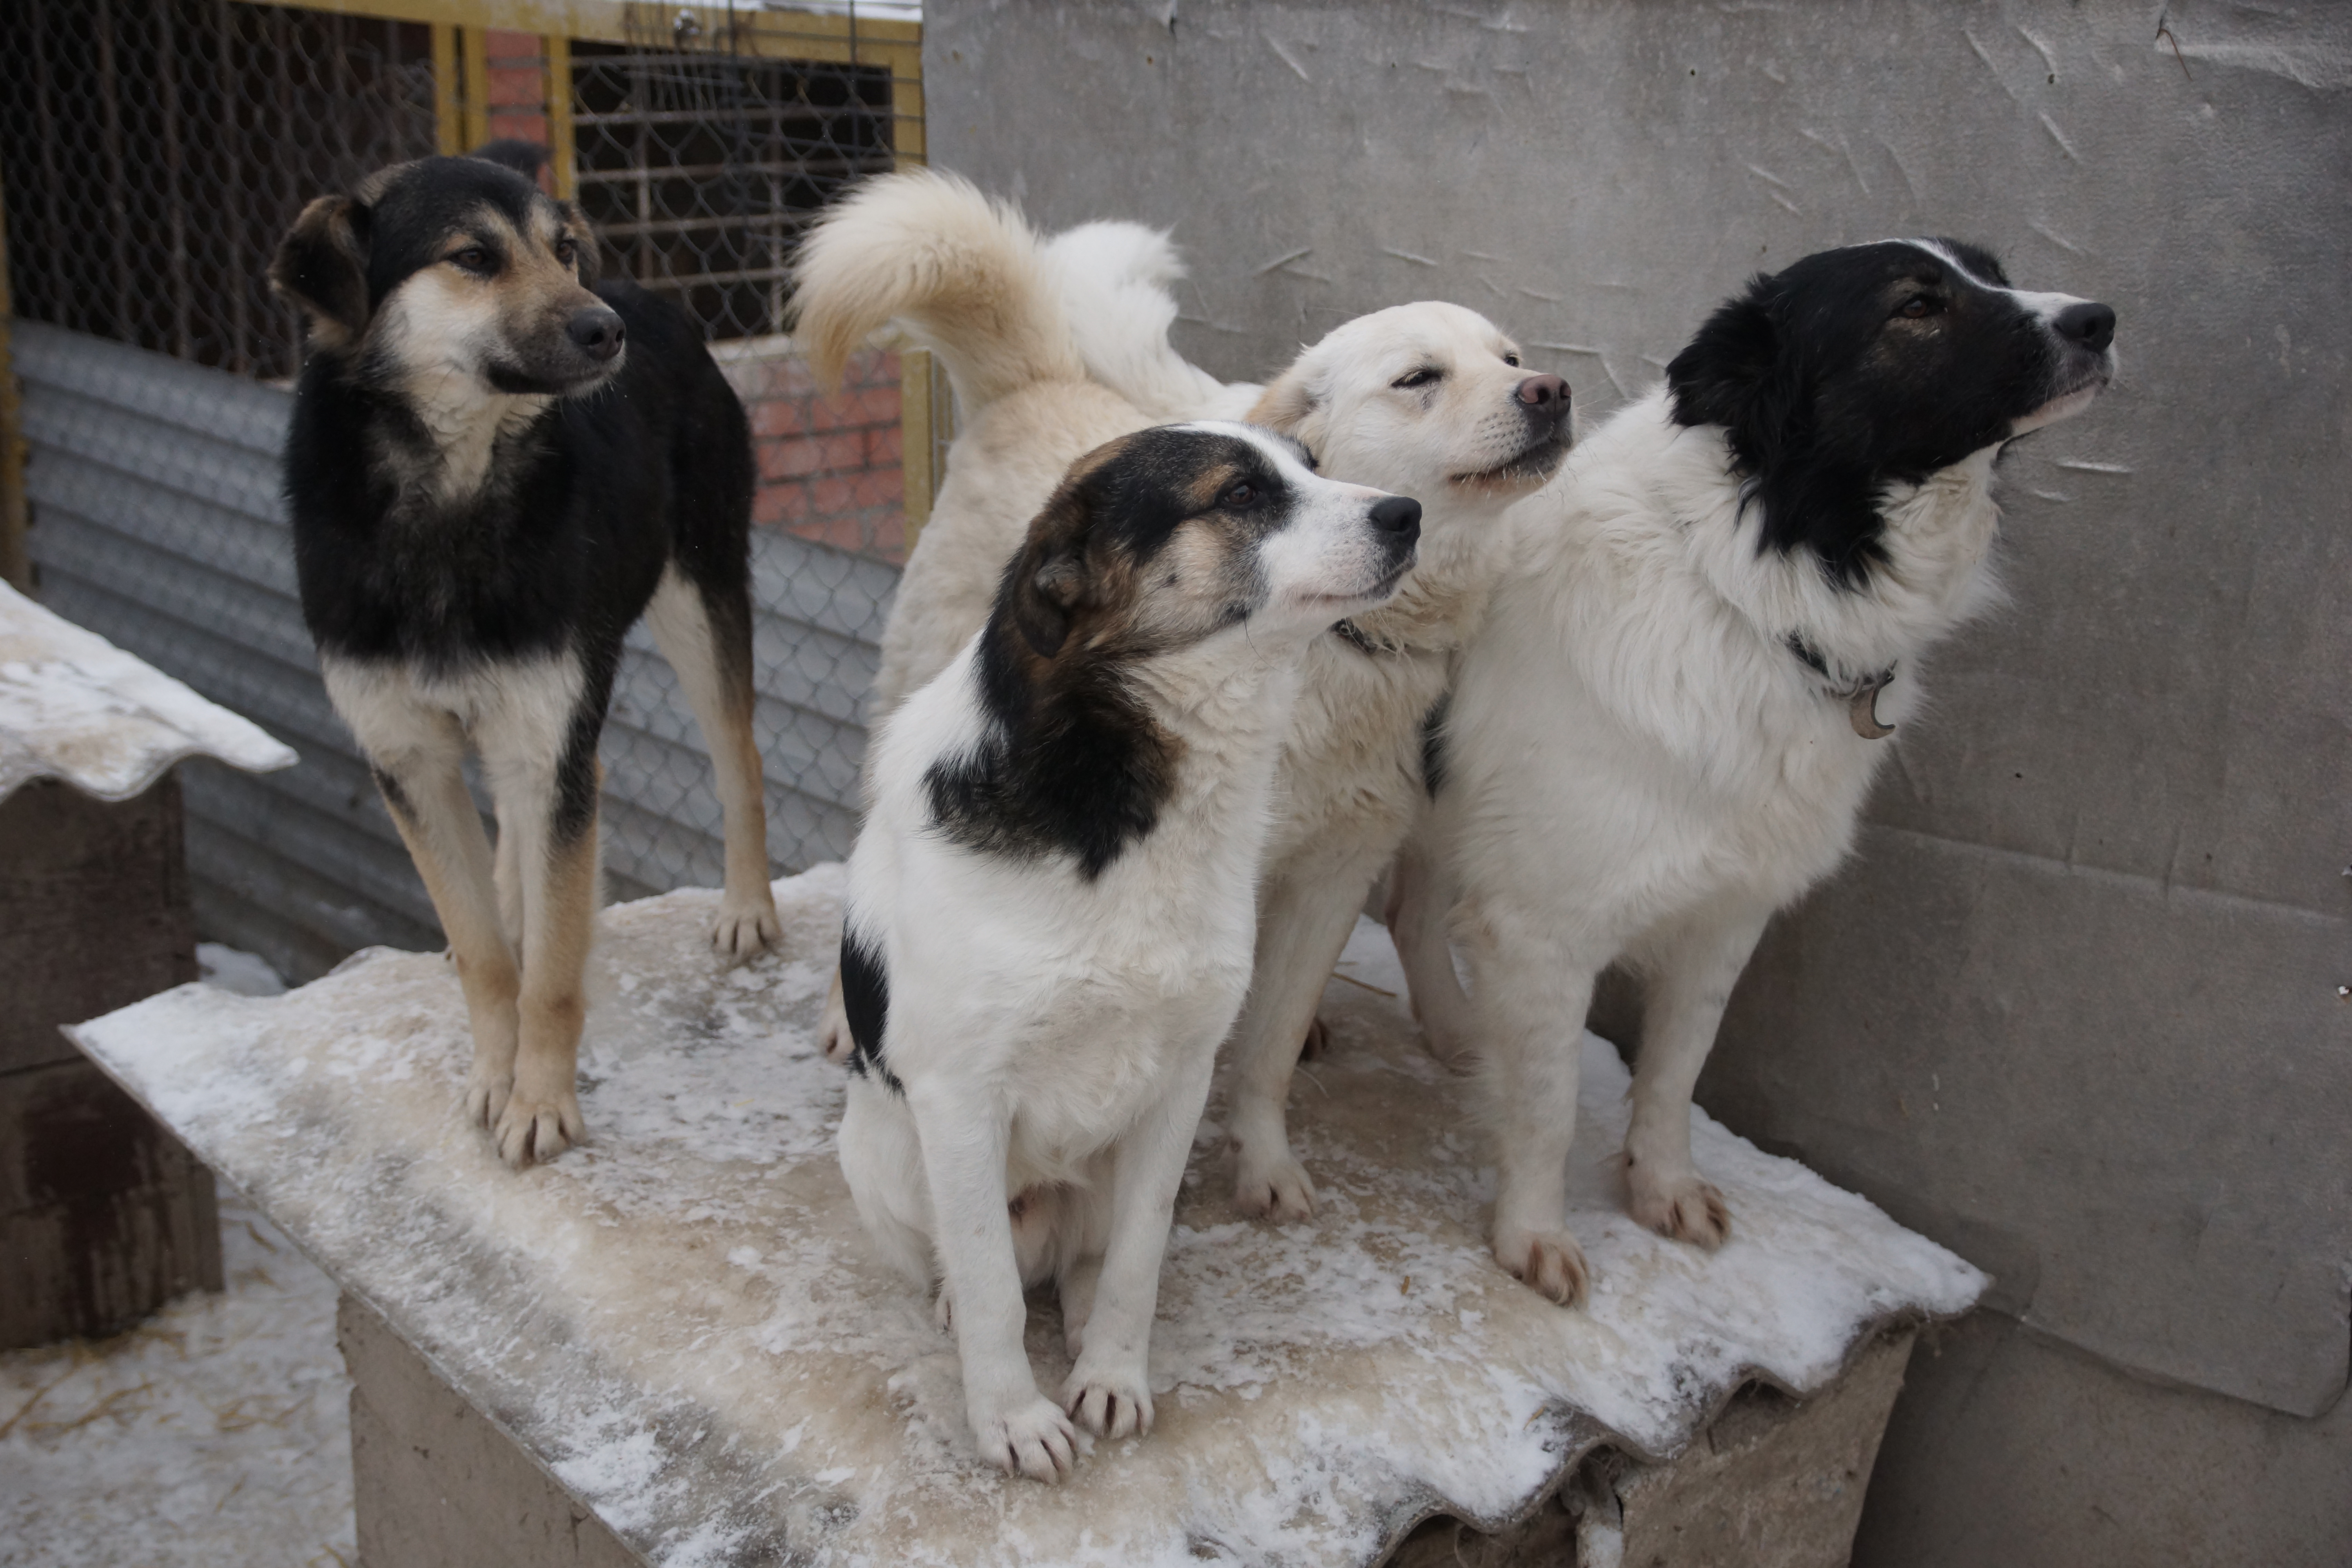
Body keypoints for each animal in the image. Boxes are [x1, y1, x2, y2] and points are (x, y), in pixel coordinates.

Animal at [267, 152, 781, 1171]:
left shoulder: (549, 742)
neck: (448, 495)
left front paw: (540, 1100)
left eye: (563, 248)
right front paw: (495, 1072)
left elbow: (549, 970)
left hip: (695, 599)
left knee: (735, 757)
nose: (603, 328)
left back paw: (748, 907)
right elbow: (483, 954)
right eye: (473, 257)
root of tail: (655, 299)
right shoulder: (411, 759)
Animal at [837, 423, 1411, 1476]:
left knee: (1085, 1260)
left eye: (1312, 462)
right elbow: (989, 1282)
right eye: (1239, 494)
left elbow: (1136, 1261)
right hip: (879, 1153)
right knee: (977, 1263)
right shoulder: (960, 1095)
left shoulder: (1181, 1079)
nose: (1410, 512)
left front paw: (1110, 1371)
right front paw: (1011, 1416)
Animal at [1392, 240, 2117, 1307]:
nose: (2101, 320)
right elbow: (1549, 1102)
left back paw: (1449, 1030)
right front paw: (1533, 1234)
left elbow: (1676, 1070)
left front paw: (1661, 1186)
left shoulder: (1726, 910)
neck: (1750, 581)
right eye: (1916, 305)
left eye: (1991, 268)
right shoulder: (1541, 926)